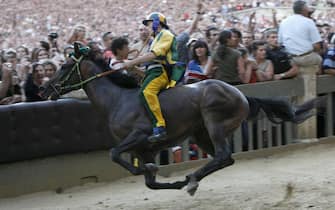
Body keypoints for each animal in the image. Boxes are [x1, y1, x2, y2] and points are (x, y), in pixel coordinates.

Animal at [40, 42, 326, 195]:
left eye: (64, 66)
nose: (44, 90)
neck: (118, 99)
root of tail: (240, 94)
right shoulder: (144, 149)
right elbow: (149, 182)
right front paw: (165, 177)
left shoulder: (140, 136)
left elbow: (114, 154)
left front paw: (157, 172)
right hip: (201, 133)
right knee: (224, 158)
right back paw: (191, 181)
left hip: (214, 123)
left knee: (223, 155)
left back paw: (192, 179)